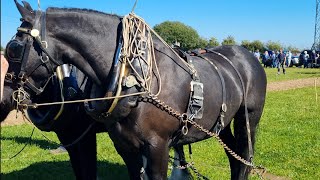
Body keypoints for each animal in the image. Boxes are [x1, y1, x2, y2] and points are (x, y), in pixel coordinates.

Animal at [1, 0, 266, 179]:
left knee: (244, 156)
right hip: (220, 122)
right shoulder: (123, 146)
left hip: (248, 119)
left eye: (13, 48)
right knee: (233, 155)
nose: (4, 99)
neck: (136, 82)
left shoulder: (157, 147)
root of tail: (246, 55)